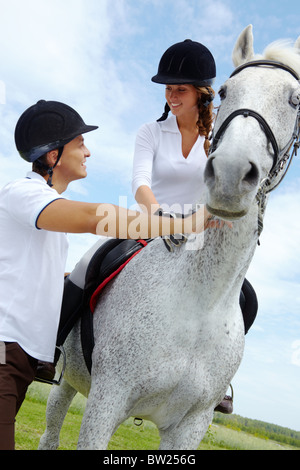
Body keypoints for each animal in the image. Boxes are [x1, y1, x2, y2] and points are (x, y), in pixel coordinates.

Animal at [38, 26, 300, 452]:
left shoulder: (191, 424)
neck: (201, 302)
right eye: (225, 90)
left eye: (295, 100)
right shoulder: (106, 403)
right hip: (69, 382)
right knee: (50, 431)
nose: (230, 174)